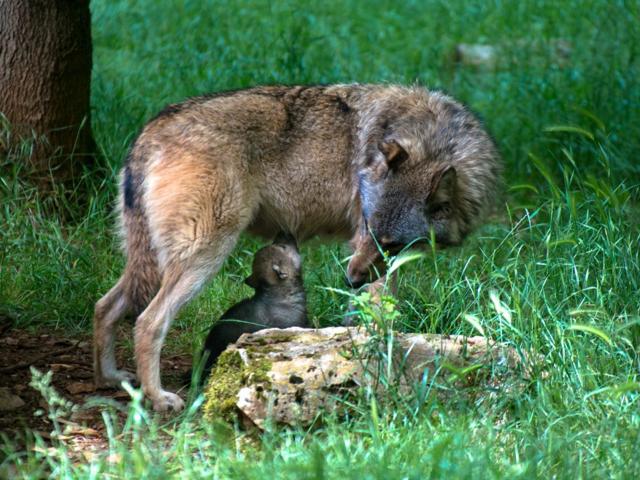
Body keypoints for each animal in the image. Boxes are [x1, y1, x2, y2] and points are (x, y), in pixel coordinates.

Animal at [92, 84, 500, 410]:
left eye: (392, 242)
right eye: (367, 227)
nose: (349, 280)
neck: (432, 138)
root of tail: (152, 130)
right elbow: (378, 316)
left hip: (149, 264)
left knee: (104, 306)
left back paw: (109, 377)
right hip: (204, 258)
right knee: (148, 322)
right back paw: (158, 398)